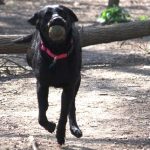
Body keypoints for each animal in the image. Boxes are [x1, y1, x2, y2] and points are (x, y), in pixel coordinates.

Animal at [26, 4, 82, 145]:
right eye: (47, 14)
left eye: (63, 13)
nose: (57, 19)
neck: (57, 52)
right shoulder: (41, 85)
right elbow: (42, 111)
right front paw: (50, 126)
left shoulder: (69, 87)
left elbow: (63, 113)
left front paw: (60, 135)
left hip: (77, 81)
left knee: (72, 106)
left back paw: (75, 128)